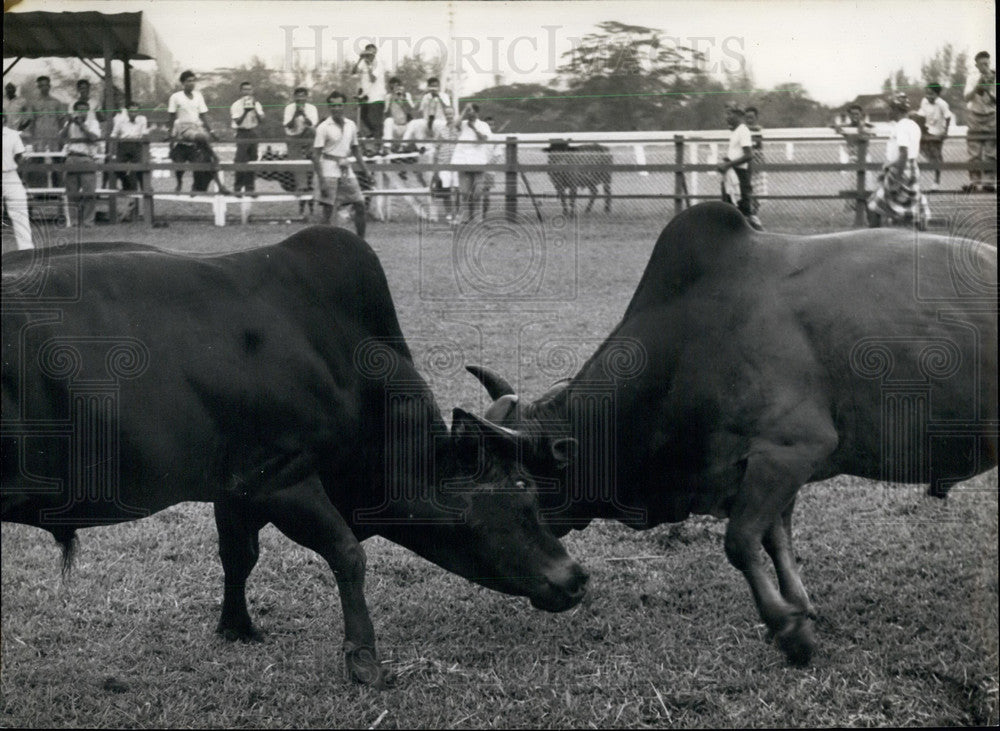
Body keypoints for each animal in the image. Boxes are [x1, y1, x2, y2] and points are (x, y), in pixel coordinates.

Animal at [1, 229, 584, 688]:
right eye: (522, 501)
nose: (576, 577)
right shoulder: (284, 479)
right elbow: (348, 554)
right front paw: (364, 659)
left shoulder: (236, 488)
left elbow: (238, 556)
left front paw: (237, 627)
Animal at [464, 202, 996, 668]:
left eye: (523, 485)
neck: (686, 346)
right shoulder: (769, 469)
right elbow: (776, 540)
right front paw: (799, 607)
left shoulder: (788, 451)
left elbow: (740, 542)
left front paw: (788, 630)